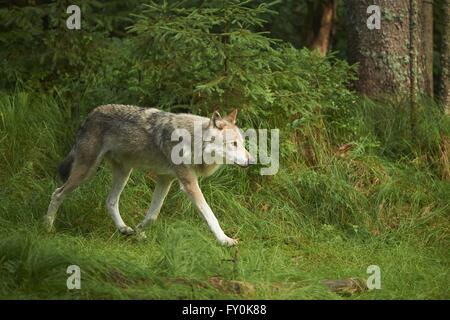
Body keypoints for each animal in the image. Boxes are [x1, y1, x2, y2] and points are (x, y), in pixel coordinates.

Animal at [43, 104, 251, 245]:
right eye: (233, 144)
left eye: (242, 143)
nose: (250, 161)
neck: (195, 141)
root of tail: (92, 113)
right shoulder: (188, 183)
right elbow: (210, 215)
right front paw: (225, 240)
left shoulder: (165, 179)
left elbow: (152, 215)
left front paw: (138, 231)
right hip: (86, 171)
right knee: (57, 193)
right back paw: (48, 227)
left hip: (124, 172)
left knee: (110, 201)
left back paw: (124, 229)